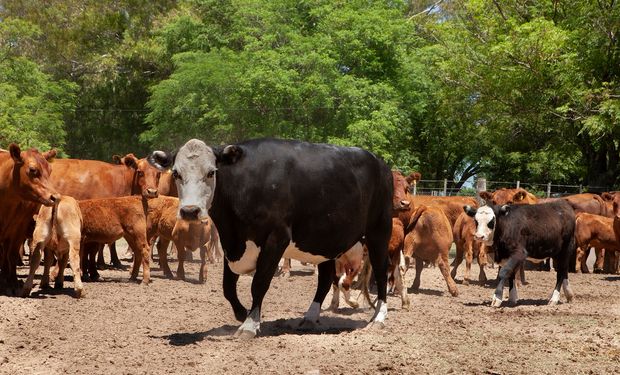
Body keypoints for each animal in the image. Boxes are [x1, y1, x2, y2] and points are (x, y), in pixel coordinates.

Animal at [0, 144, 58, 294]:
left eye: (50, 170)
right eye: (33, 170)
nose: (55, 197)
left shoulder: (19, 228)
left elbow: (12, 254)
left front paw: (13, 282)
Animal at [149, 138, 392, 338]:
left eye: (211, 172)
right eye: (176, 173)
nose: (190, 211)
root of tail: (381, 164)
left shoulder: (276, 239)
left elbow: (259, 283)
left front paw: (250, 324)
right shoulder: (232, 244)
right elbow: (228, 287)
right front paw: (242, 313)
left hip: (379, 232)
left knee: (381, 273)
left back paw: (378, 318)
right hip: (325, 241)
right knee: (324, 279)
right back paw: (310, 317)